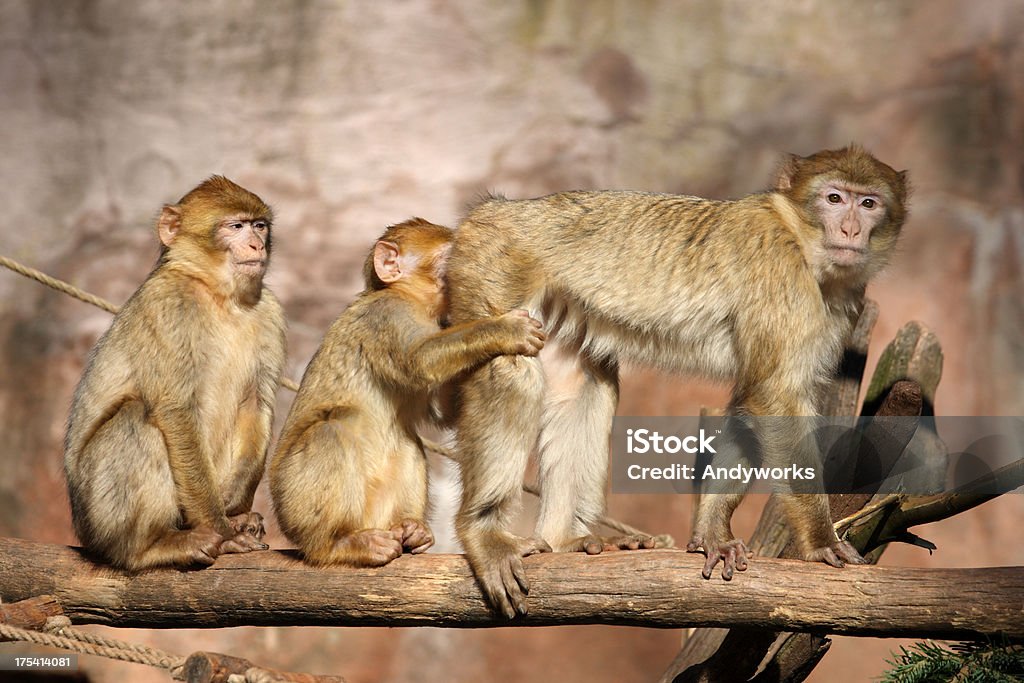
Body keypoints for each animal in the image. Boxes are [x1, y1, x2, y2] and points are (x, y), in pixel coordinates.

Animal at [61, 176, 286, 573]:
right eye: (235, 227)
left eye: (259, 225)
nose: (256, 244)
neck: (219, 295)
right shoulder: (169, 306)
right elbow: (176, 410)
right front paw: (223, 530)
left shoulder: (269, 312)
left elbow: (255, 405)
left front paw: (234, 514)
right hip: (98, 517)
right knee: (135, 417)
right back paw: (147, 548)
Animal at [268, 219, 548, 565]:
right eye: (449, 257)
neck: (409, 298)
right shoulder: (387, 315)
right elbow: (419, 363)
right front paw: (505, 330)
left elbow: (441, 414)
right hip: (293, 507)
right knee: (330, 431)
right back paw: (337, 544)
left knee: (406, 442)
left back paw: (411, 530)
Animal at [444, 145, 909, 618]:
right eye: (834, 198)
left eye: (868, 203)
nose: (851, 229)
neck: (799, 237)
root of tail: (494, 209)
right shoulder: (780, 277)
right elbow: (774, 396)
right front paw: (819, 541)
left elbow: (750, 399)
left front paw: (713, 534)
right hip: (493, 265)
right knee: (510, 367)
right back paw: (483, 532)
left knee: (586, 381)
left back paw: (563, 541)